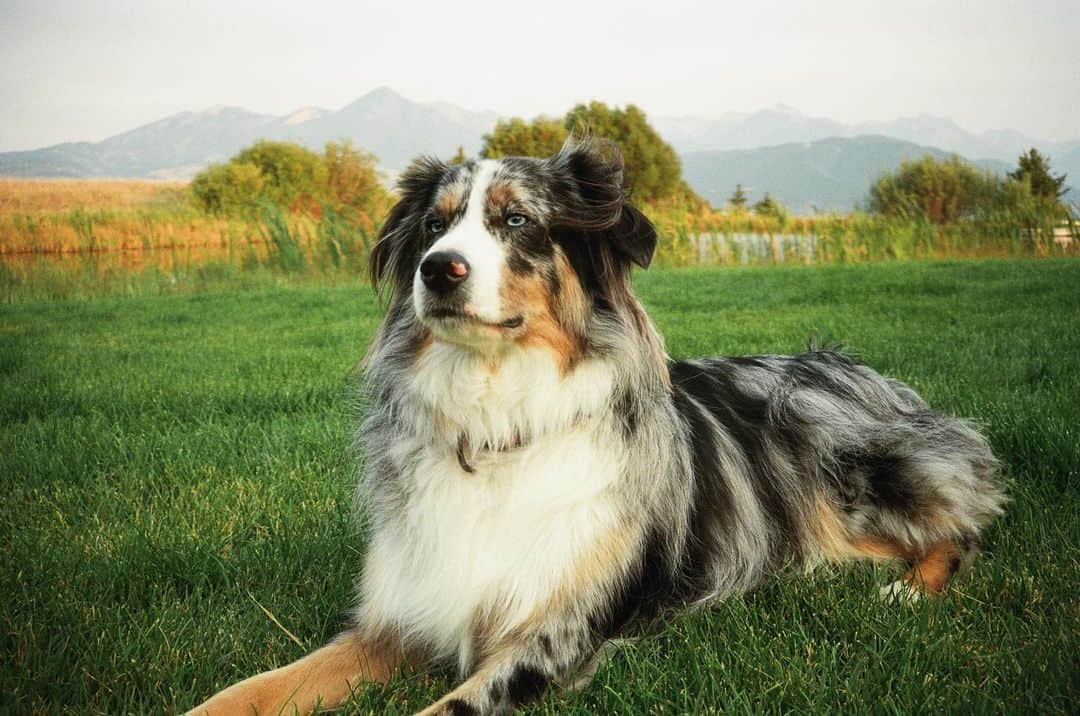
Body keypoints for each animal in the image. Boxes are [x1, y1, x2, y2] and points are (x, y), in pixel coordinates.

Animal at [185, 140, 1002, 716]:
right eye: (434, 225)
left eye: (516, 220)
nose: (437, 268)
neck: (498, 421)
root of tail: (860, 368)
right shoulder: (399, 614)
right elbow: (253, 687)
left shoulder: (558, 632)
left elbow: (452, 706)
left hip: (857, 466)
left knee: (963, 527)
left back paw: (908, 590)